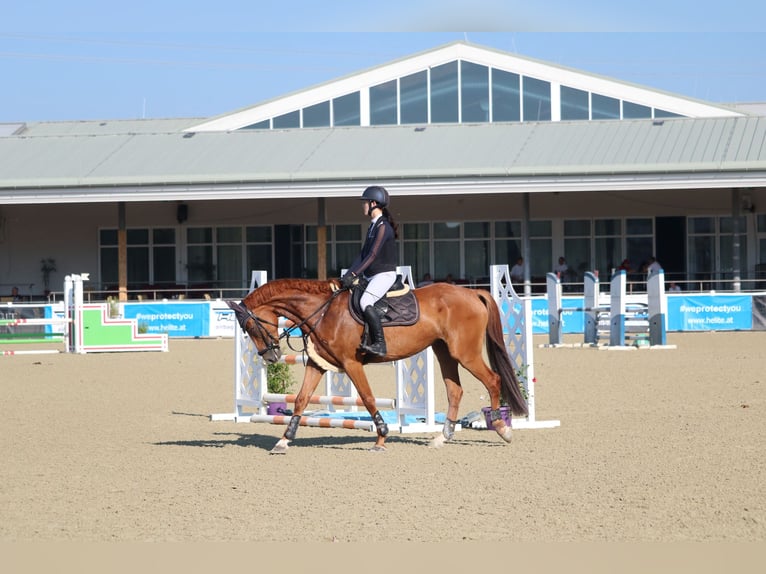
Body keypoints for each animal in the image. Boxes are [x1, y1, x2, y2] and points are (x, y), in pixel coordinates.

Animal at [228, 280, 528, 454]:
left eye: (250, 326)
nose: (271, 357)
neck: (323, 311)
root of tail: (472, 292)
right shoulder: (317, 363)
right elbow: (301, 399)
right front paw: (284, 440)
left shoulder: (351, 363)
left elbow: (368, 398)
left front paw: (381, 438)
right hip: (444, 351)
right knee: (455, 390)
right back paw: (442, 438)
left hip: (465, 353)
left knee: (493, 380)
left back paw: (502, 428)